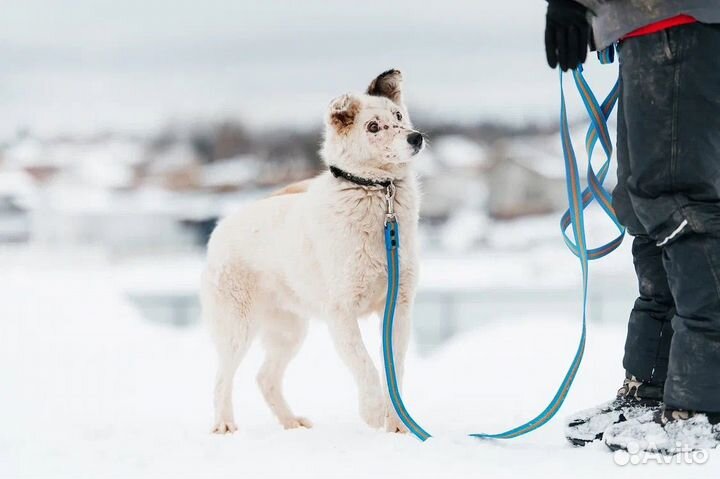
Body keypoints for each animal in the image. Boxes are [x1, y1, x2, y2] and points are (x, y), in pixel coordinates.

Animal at [200, 70, 424, 436]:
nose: (416, 138)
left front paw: (397, 423)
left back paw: (291, 422)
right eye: (372, 127)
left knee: (265, 378)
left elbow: (395, 367)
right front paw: (373, 412)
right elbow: (364, 363)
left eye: (398, 116)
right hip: (237, 328)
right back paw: (224, 424)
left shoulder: (398, 308)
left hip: (289, 331)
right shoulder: (341, 313)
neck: (378, 193)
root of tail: (220, 228)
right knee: (221, 378)